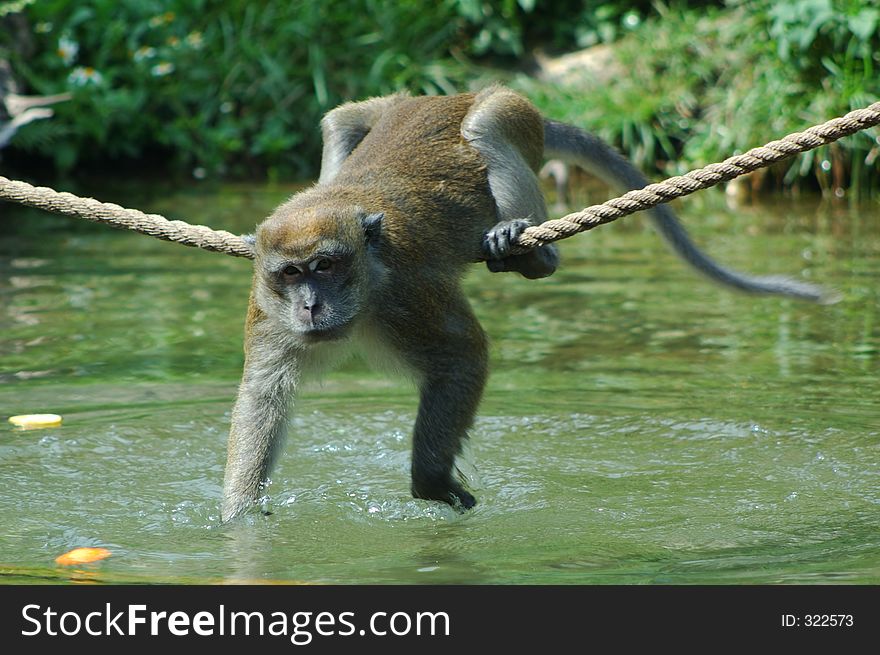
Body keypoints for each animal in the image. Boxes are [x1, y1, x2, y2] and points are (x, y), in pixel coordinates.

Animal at [220, 83, 832, 524]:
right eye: (292, 273)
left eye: (326, 267)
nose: (309, 307)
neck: (365, 284)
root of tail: (448, 94)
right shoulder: (267, 312)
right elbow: (263, 395)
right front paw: (241, 516)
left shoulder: (409, 292)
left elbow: (463, 356)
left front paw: (431, 480)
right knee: (342, 121)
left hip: (515, 112)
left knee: (485, 127)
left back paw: (533, 251)